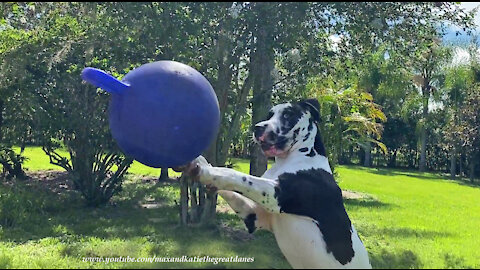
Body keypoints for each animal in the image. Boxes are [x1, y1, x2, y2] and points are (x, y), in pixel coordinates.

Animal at [180, 99, 372, 270]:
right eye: (270, 114)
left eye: (287, 114)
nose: (257, 128)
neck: (294, 158)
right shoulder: (254, 216)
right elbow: (232, 189)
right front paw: (200, 163)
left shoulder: (276, 195)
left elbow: (238, 176)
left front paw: (206, 172)